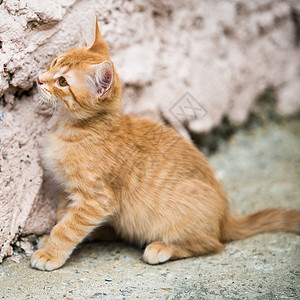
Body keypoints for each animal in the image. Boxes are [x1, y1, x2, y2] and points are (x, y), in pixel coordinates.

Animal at [31, 19, 300, 272]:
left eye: (63, 82)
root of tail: (224, 218)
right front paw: (49, 240)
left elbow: (68, 227)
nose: (39, 79)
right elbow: (63, 218)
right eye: (54, 61)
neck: (73, 128)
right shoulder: (68, 190)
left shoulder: (97, 199)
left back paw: (162, 248)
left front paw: (50, 253)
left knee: (213, 245)